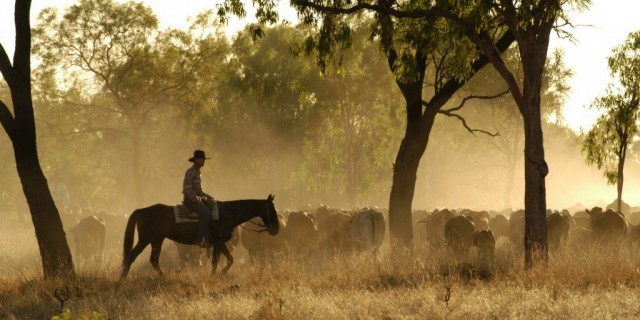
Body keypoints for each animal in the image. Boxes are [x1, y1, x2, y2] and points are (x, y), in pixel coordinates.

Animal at [120, 192, 280, 280]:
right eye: (271, 209)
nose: (276, 229)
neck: (227, 214)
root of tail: (143, 210)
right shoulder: (218, 242)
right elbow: (216, 261)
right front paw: (214, 275)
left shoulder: (219, 243)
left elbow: (230, 259)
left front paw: (221, 273)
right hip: (145, 239)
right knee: (131, 256)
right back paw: (123, 279)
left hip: (157, 240)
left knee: (153, 260)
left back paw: (162, 277)